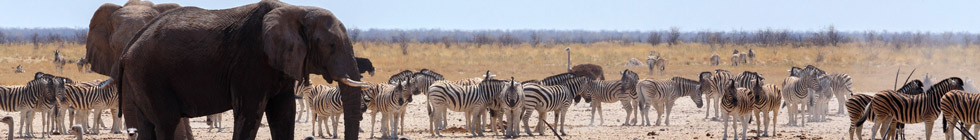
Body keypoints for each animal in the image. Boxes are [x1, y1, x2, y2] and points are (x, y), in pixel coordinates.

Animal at [109, 0, 372, 139]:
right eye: (331, 46)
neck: (297, 9)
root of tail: (127, 49)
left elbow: (284, 113)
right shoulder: (251, 62)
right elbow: (250, 113)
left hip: (140, 78)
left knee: (147, 125)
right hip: (150, 76)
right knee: (166, 123)